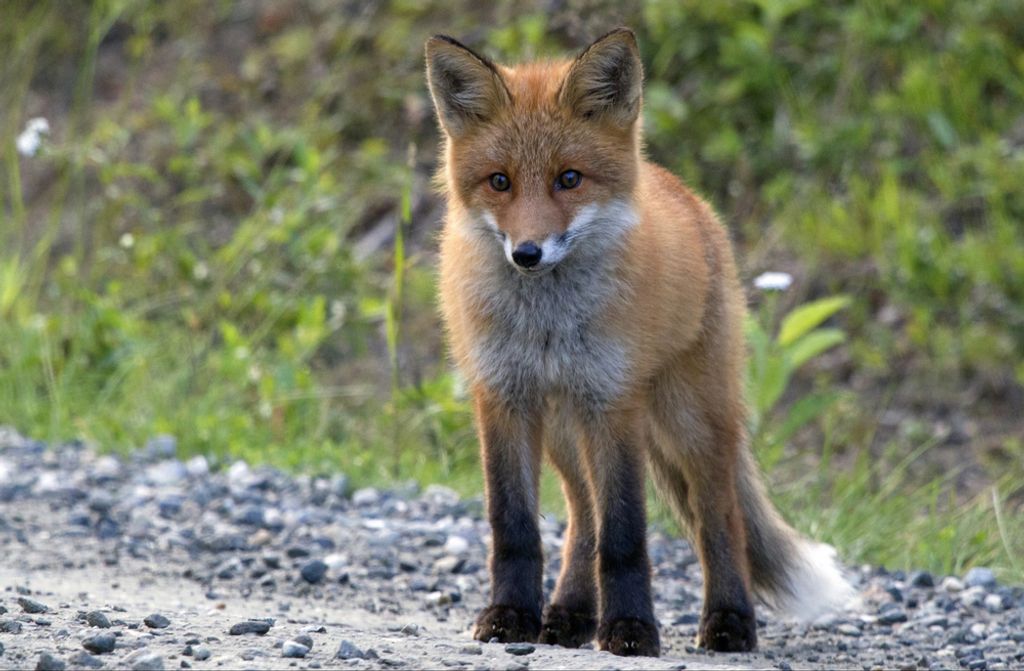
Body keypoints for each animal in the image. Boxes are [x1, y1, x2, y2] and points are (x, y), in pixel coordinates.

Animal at [424, 28, 854, 656]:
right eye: (499, 181)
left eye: (569, 179)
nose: (527, 253)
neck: (548, 323)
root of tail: (685, 193)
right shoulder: (503, 398)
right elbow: (515, 527)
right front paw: (509, 616)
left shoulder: (613, 401)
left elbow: (626, 534)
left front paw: (630, 629)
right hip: (564, 428)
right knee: (583, 519)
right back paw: (568, 615)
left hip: (688, 419)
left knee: (719, 519)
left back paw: (728, 621)